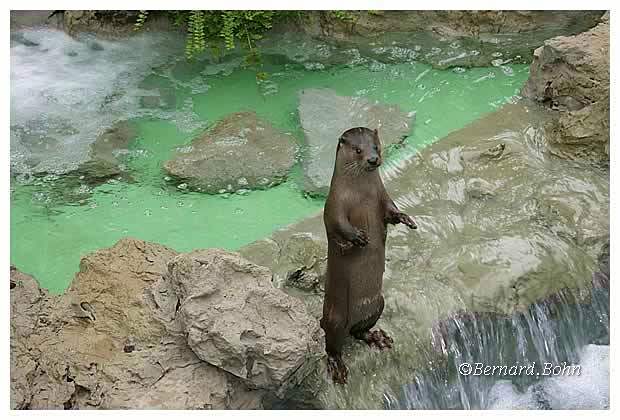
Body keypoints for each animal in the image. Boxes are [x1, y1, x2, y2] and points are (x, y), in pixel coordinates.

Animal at [320, 125, 416, 384]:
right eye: (357, 150)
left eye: (376, 145)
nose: (373, 159)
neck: (361, 196)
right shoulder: (333, 206)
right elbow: (337, 225)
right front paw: (358, 238)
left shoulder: (382, 196)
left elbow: (391, 211)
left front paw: (406, 219)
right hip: (336, 318)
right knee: (331, 345)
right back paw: (337, 367)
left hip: (377, 304)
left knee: (358, 331)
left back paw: (377, 338)